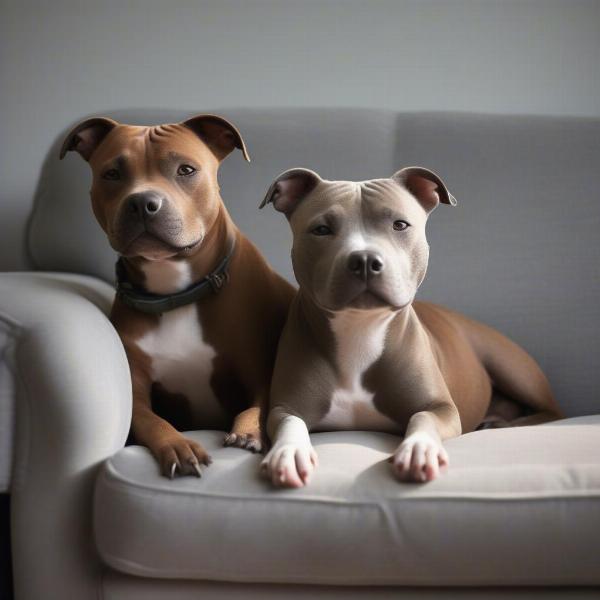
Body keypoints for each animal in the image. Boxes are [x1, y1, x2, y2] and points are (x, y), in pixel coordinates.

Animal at [61, 113, 296, 478]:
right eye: (112, 173)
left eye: (186, 170)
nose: (142, 202)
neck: (175, 292)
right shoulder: (139, 391)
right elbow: (150, 420)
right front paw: (178, 445)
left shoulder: (258, 372)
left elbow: (257, 406)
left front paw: (247, 433)